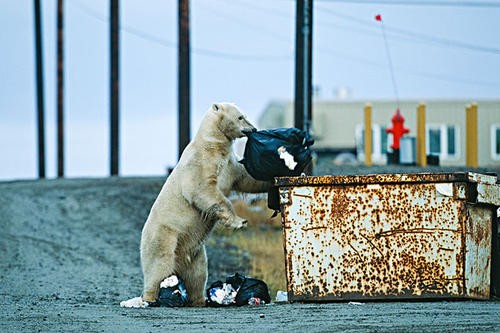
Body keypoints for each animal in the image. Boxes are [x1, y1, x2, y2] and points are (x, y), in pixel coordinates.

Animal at [132, 101, 270, 306]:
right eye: (240, 117)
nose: (253, 129)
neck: (212, 144)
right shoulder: (200, 162)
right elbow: (202, 189)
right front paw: (239, 222)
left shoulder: (229, 164)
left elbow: (248, 177)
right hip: (164, 235)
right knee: (159, 265)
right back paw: (150, 297)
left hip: (194, 250)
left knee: (197, 273)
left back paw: (199, 299)